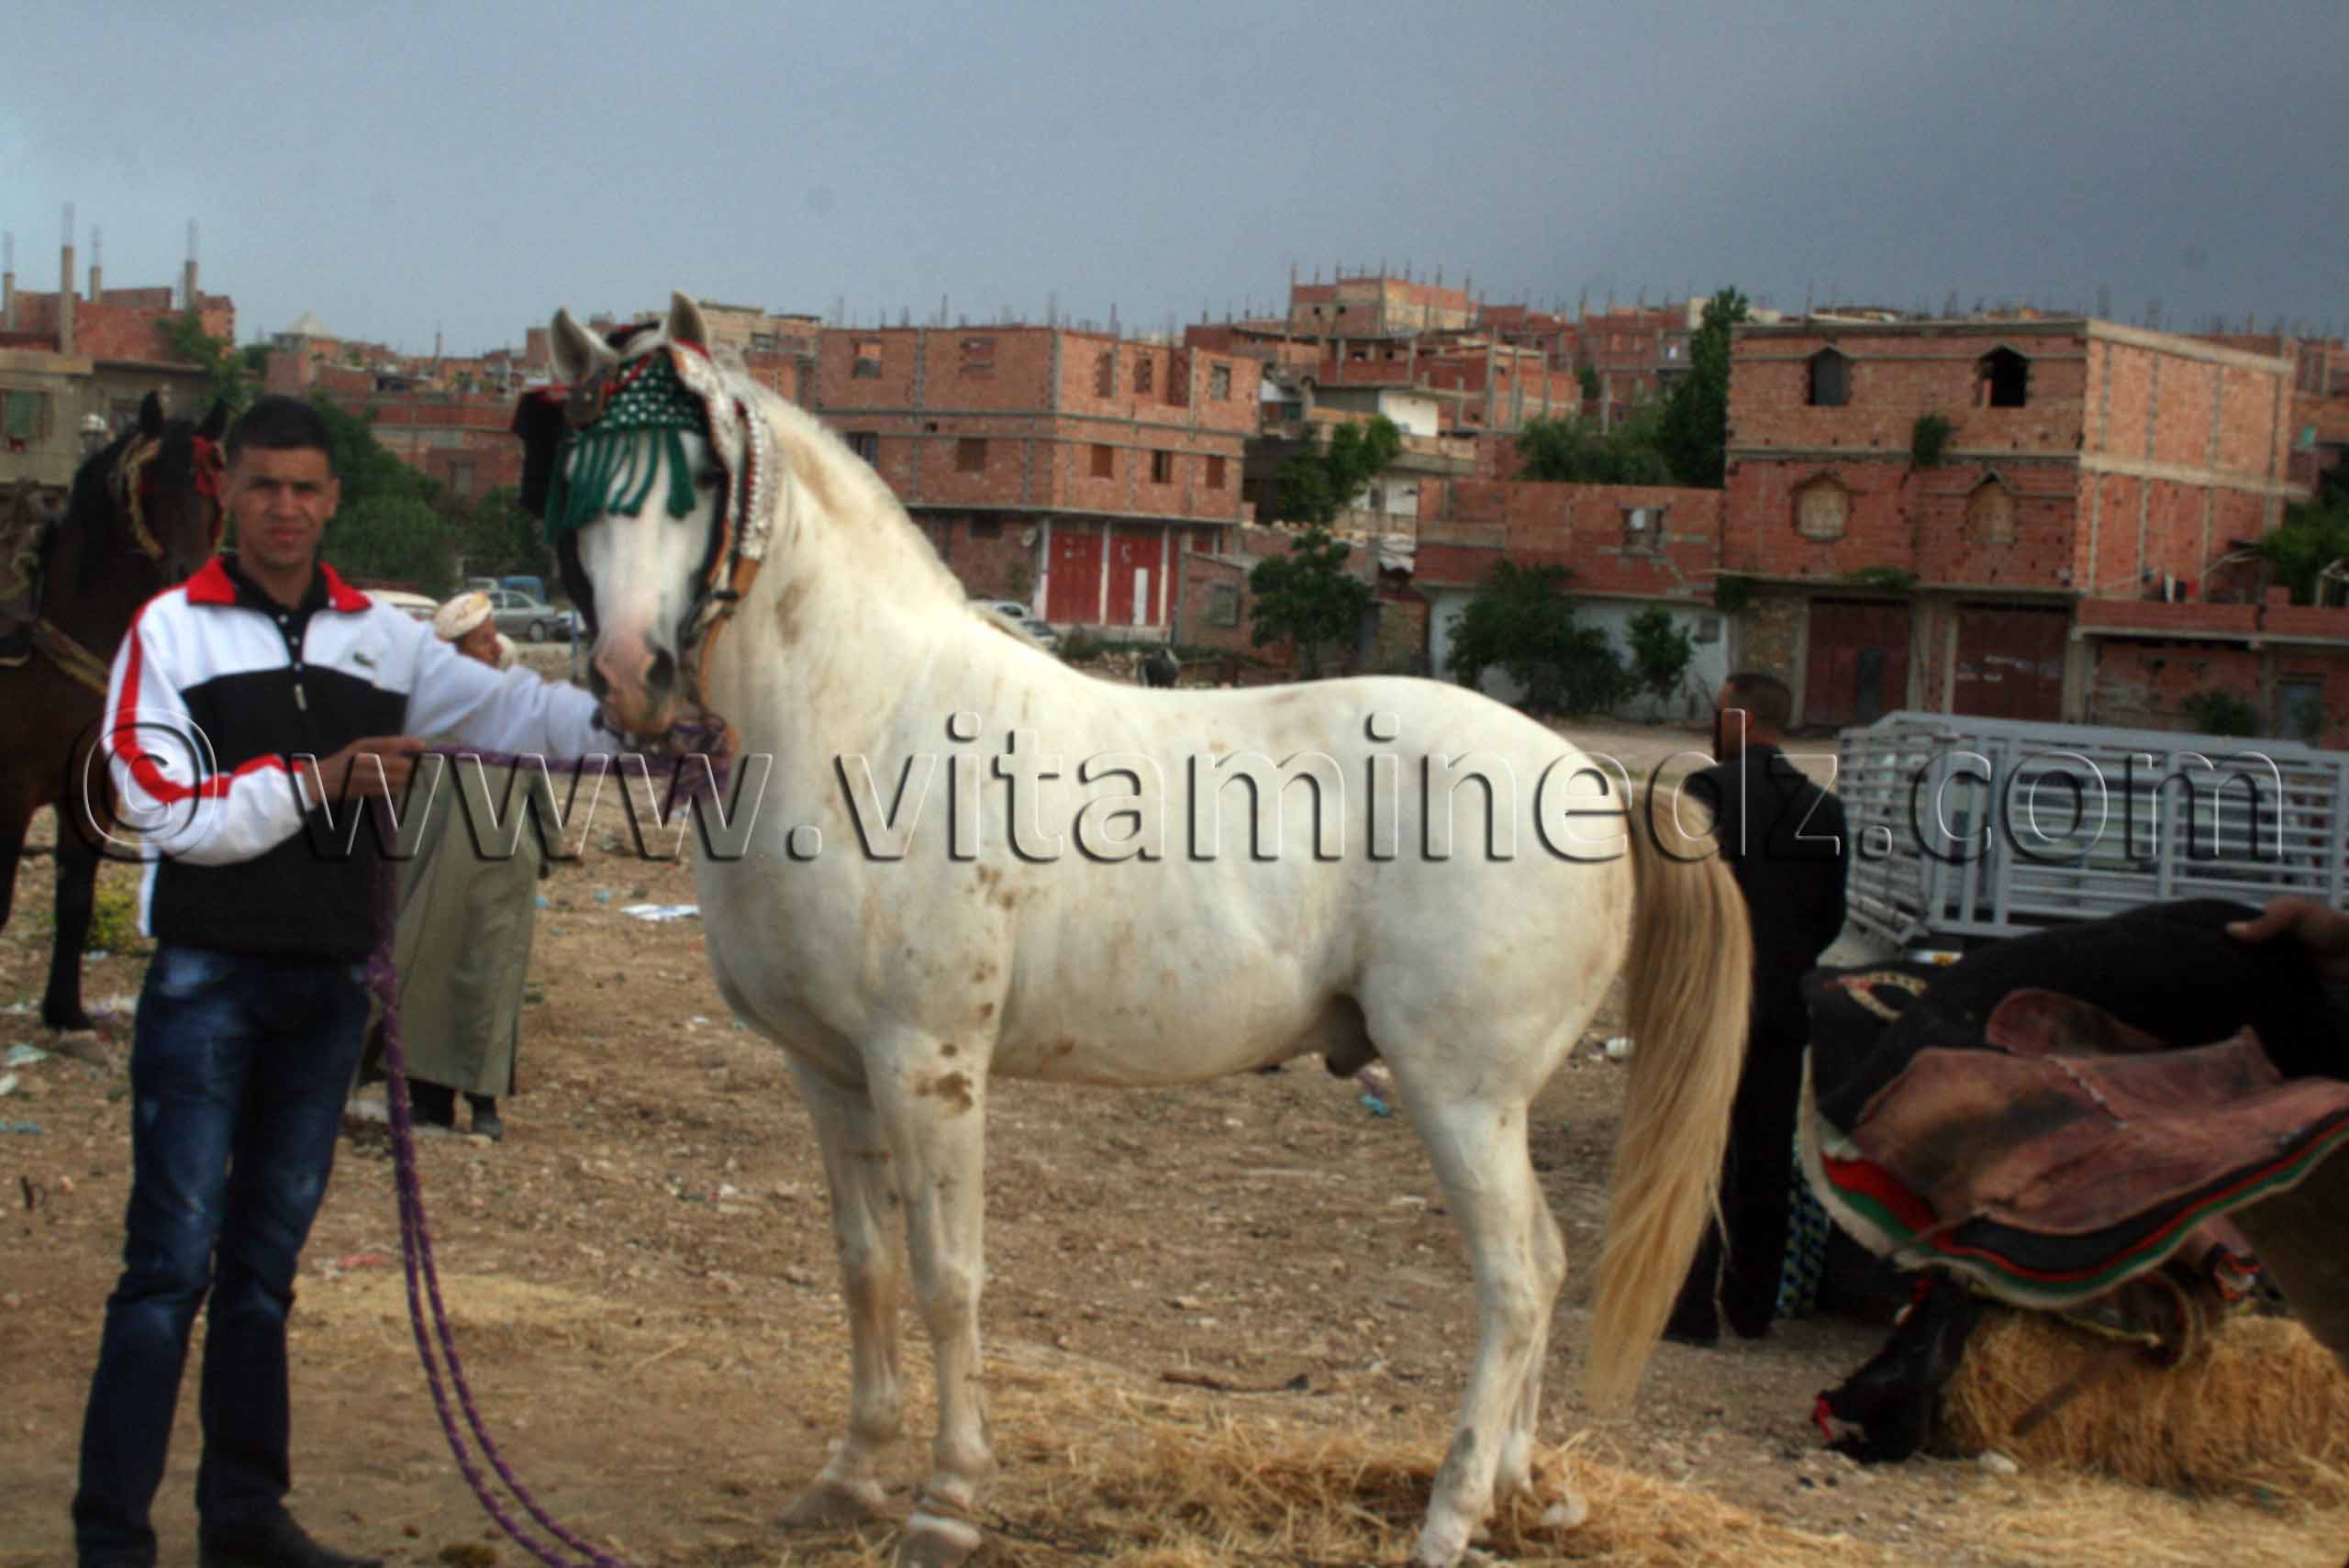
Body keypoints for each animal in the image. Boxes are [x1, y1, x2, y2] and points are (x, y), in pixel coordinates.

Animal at [0, 393, 227, 1031]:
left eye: (214, 485)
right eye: (153, 482)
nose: (186, 576)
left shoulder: (92, 788)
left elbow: (75, 897)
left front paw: (64, 1010)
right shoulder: (13, 786)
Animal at [532, 293, 1754, 1568]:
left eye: (702, 477)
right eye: (574, 478)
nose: (628, 673)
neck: (864, 718)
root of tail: (1594, 776)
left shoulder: (929, 1068)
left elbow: (946, 1277)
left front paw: (946, 1499)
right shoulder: (828, 1071)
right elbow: (864, 1270)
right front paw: (851, 1474)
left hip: (1462, 1092)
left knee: (1515, 1281)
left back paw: (1451, 1511)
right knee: (1548, 1266)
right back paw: (1517, 1489)